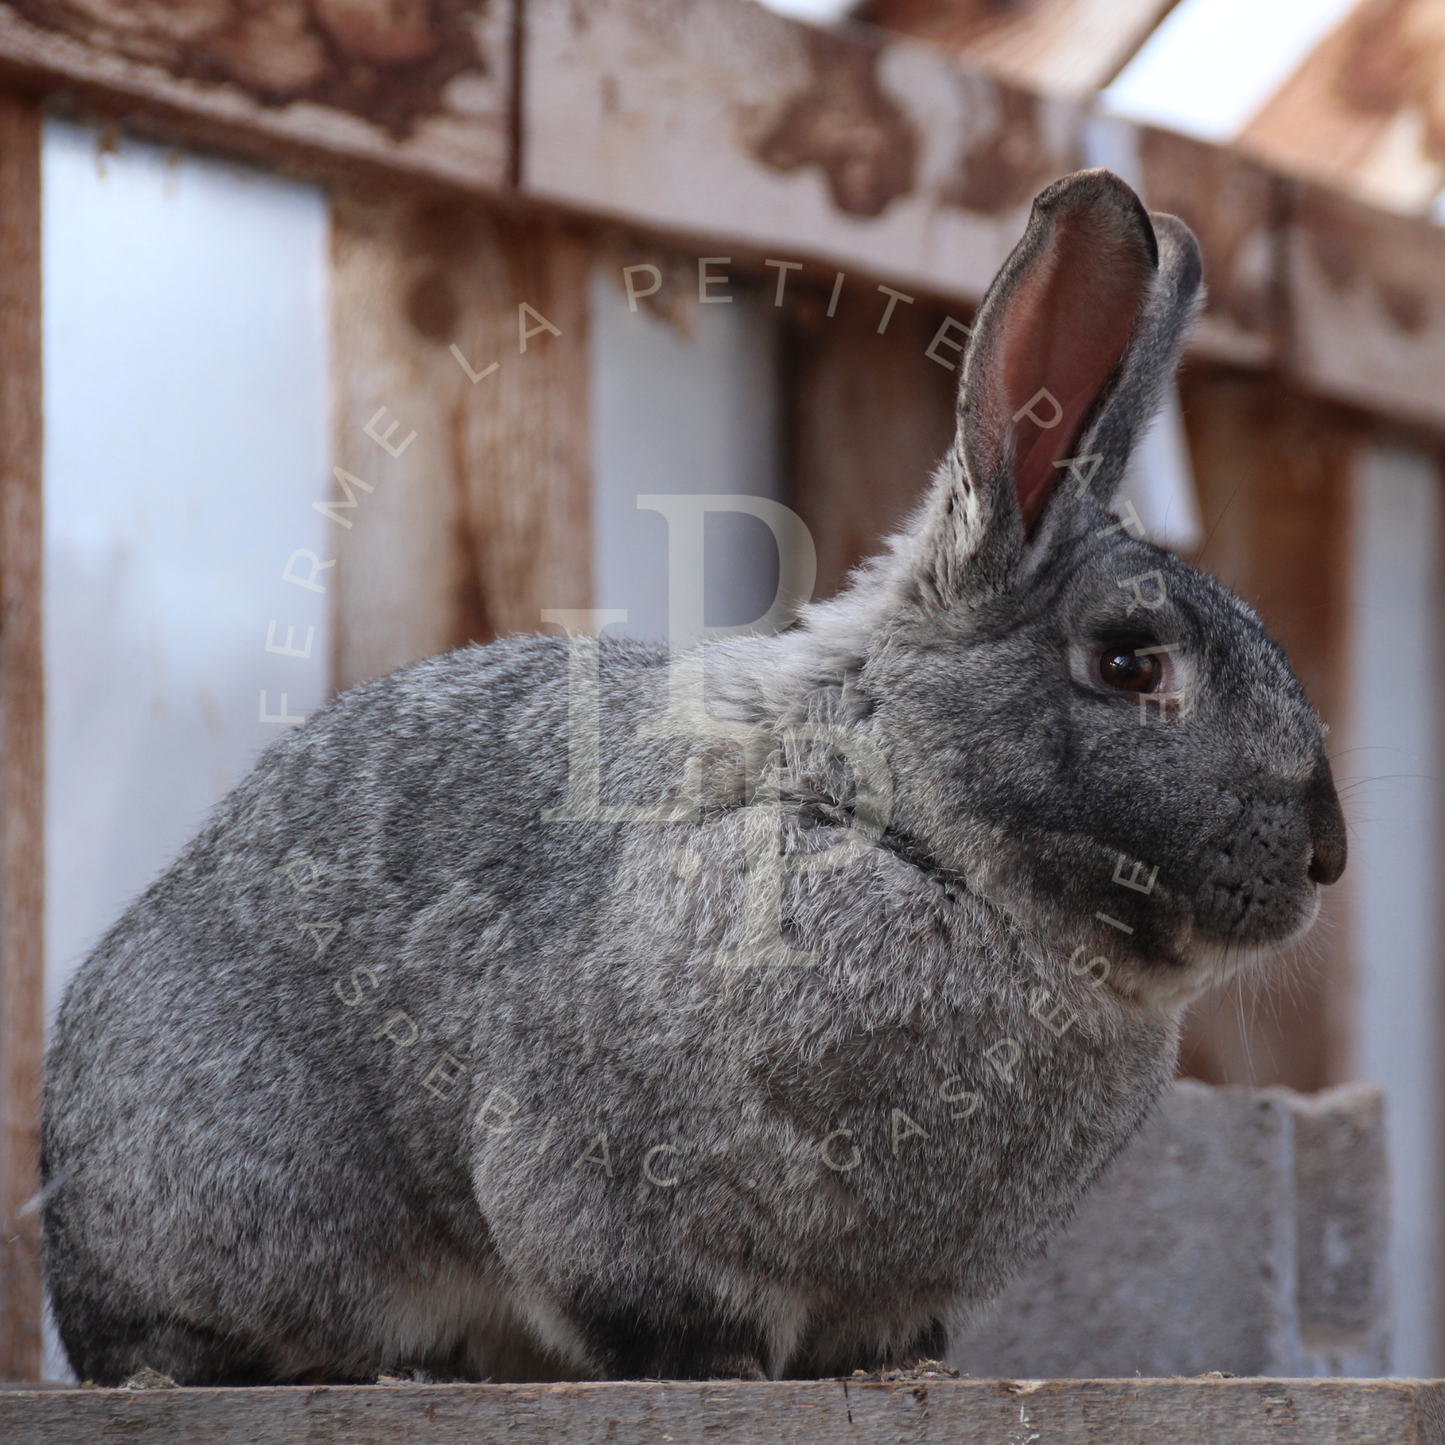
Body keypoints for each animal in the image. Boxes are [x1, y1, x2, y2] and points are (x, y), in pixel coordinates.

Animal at [42, 167, 1346, 1387]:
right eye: (1130, 663)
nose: (1325, 854)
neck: (903, 831)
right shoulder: (607, 1189)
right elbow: (660, 1306)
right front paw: (717, 1367)